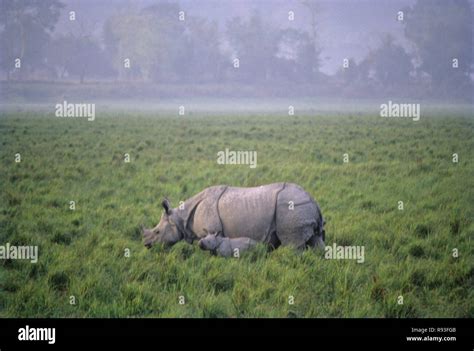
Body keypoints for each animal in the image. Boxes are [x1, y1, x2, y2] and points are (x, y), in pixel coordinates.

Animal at [143, 183, 324, 252]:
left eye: (157, 232)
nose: (146, 245)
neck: (181, 217)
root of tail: (314, 201)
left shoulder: (211, 231)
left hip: (292, 209)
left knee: (293, 247)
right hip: (301, 209)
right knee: (316, 241)